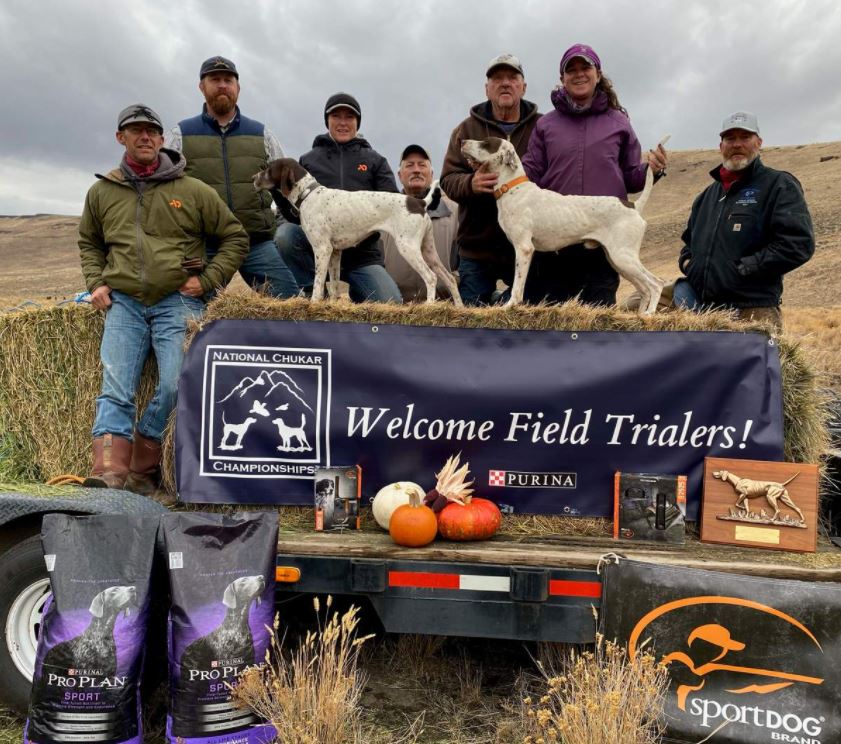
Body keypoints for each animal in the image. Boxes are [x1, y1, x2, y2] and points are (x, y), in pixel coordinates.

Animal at [253, 160, 462, 306]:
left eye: (268, 168)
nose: (254, 178)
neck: (309, 194)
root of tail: (419, 202)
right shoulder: (335, 252)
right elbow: (334, 283)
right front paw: (333, 304)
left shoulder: (322, 249)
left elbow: (318, 283)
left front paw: (314, 303)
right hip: (428, 251)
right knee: (450, 278)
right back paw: (459, 307)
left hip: (408, 247)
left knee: (431, 277)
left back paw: (429, 305)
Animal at [460, 137, 664, 314]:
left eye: (486, 143)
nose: (462, 141)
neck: (513, 188)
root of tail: (633, 206)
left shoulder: (524, 248)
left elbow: (517, 287)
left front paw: (509, 306)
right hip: (617, 260)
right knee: (645, 289)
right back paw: (640, 315)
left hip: (623, 257)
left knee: (656, 283)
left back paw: (649, 314)